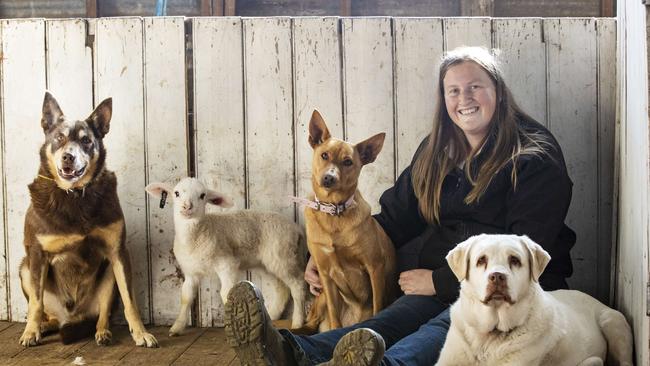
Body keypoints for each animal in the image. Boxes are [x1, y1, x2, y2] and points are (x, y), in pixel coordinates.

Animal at [19, 93, 157, 348]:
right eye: (59, 138)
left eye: (86, 141)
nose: (68, 157)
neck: (73, 195)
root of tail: (73, 319)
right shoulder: (37, 254)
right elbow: (35, 302)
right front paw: (30, 332)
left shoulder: (118, 252)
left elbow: (130, 301)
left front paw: (141, 333)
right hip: (25, 267)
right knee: (46, 311)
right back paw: (43, 326)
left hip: (109, 271)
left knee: (102, 315)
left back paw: (103, 332)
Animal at [146, 177, 308, 334]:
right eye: (177, 193)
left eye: (202, 195)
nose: (187, 207)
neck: (200, 233)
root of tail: (296, 228)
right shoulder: (191, 272)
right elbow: (186, 297)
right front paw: (176, 328)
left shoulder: (227, 264)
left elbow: (226, 294)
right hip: (268, 263)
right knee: (282, 289)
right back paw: (272, 316)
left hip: (283, 256)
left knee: (298, 285)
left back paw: (297, 322)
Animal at [294, 111, 394, 332]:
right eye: (324, 155)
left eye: (348, 162)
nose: (329, 178)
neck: (333, 212)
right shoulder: (325, 275)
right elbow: (334, 314)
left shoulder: (375, 267)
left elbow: (378, 305)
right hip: (321, 295)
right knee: (312, 324)